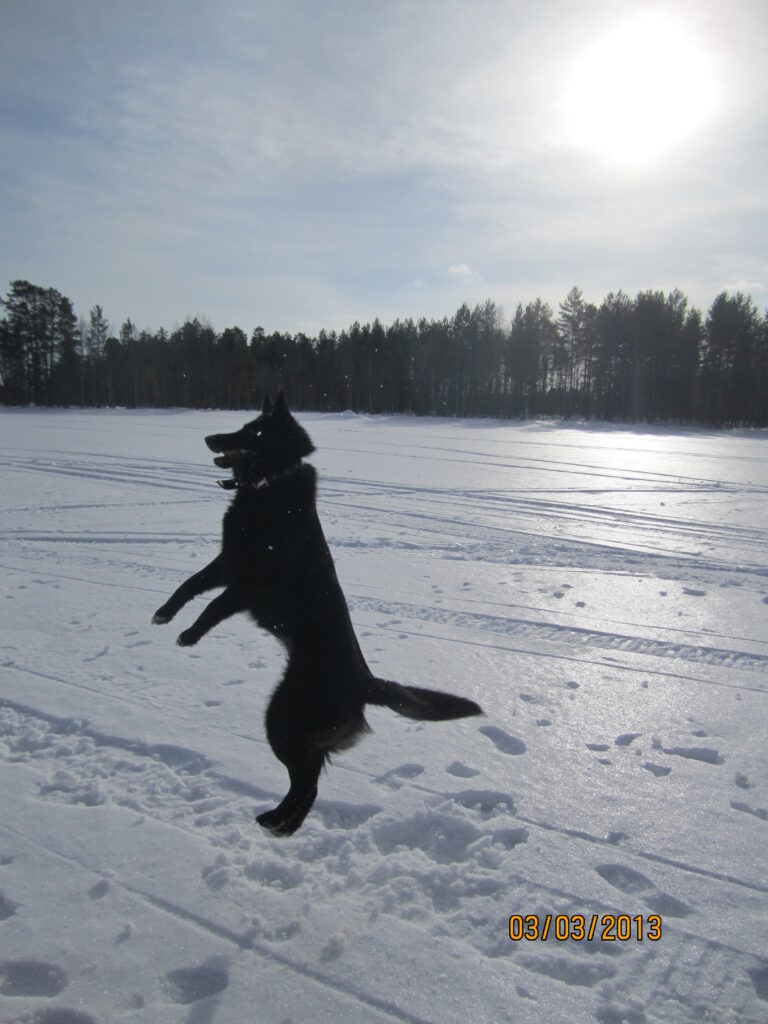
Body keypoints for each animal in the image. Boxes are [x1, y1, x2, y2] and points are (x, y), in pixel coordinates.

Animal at [153, 389, 483, 831]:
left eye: (253, 431)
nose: (210, 438)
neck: (270, 485)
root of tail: (365, 683)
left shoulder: (250, 582)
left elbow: (213, 606)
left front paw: (189, 635)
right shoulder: (227, 563)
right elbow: (188, 584)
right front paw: (165, 613)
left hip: (283, 719)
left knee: (306, 785)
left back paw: (278, 825)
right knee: (307, 782)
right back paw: (278, 822)